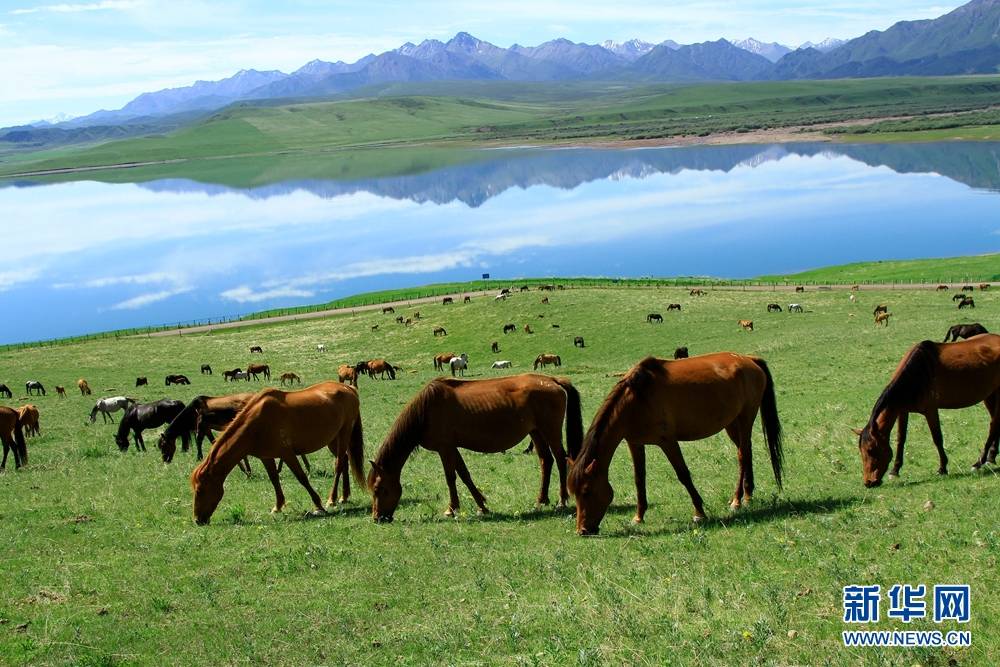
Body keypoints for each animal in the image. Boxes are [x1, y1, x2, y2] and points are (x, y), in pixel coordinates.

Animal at [190, 382, 365, 525]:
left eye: (200, 490)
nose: (197, 520)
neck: (257, 424)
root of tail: (348, 388)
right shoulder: (266, 457)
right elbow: (274, 479)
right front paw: (278, 506)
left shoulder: (287, 454)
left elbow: (302, 478)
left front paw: (318, 505)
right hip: (333, 439)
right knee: (345, 460)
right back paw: (344, 497)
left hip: (344, 433)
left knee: (339, 464)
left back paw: (332, 499)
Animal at [368, 374, 583, 521]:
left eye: (380, 489)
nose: (378, 518)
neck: (426, 410)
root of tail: (552, 380)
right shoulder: (452, 448)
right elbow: (464, 475)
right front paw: (482, 506)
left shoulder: (444, 448)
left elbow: (451, 478)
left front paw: (451, 509)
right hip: (536, 432)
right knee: (546, 460)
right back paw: (541, 500)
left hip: (550, 430)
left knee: (560, 459)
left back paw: (562, 501)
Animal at [568, 354, 784, 534]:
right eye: (574, 494)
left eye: (587, 491)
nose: (582, 531)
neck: (637, 399)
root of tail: (749, 359)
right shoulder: (635, 443)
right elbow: (639, 479)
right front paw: (638, 517)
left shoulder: (668, 442)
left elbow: (683, 475)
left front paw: (699, 512)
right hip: (731, 423)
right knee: (746, 452)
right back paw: (747, 495)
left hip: (746, 418)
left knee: (742, 455)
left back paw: (738, 500)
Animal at [854, 334, 1000, 487]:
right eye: (861, 450)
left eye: (871, 450)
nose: (868, 482)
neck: (917, 372)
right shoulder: (902, 411)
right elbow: (901, 438)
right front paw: (895, 470)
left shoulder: (930, 410)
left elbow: (937, 438)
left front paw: (942, 468)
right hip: (990, 395)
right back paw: (991, 456)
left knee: (994, 424)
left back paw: (980, 462)